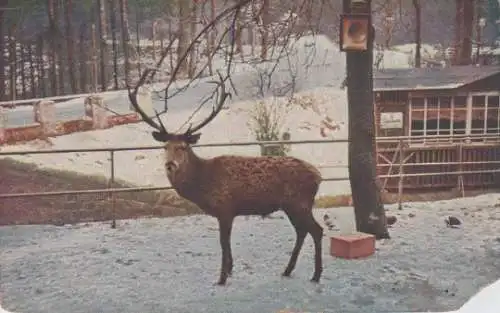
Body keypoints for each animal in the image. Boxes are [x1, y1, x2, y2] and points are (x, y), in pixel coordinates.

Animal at [128, 75, 324, 286]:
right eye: (165, 147)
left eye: (183, 147)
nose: (170, 165)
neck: (202, 183)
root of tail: (318, 176)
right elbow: (226, 243)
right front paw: (229, 271)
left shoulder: (225, 208)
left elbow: (223, 242)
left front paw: (222, 277)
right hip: (291, 205)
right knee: (302, 231)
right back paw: (288, 270)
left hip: (299, 202)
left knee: (316, 230)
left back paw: (316, 275)